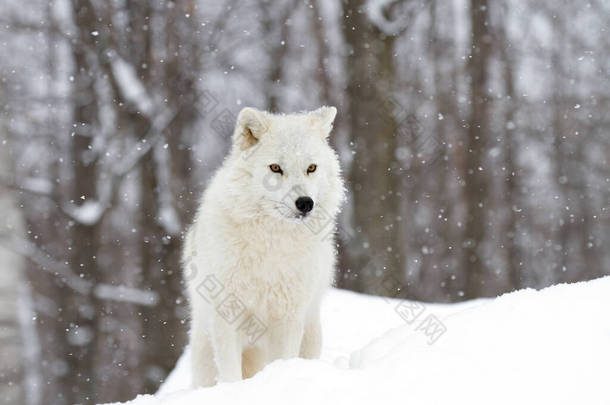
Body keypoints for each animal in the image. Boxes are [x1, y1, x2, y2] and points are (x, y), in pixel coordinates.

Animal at [182, 105, 342, 386]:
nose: (305, 203)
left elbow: (285, 360)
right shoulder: (227, 315)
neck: (271, 242)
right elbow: (230, 373)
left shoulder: (288, 318)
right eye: (276, 168)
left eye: (311, 167)